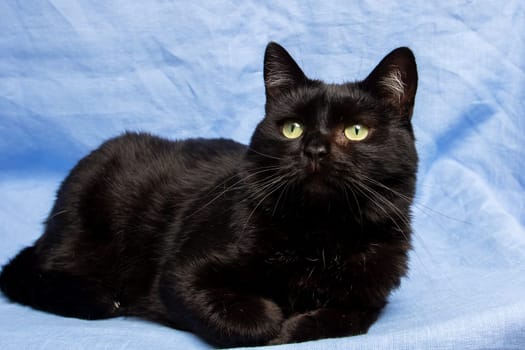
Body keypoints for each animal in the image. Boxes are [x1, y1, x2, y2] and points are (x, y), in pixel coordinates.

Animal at [0, 43, 418, 348]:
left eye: (356, 131)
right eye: (292, 129)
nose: (314, 150)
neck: (319, 234)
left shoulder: (368, 298)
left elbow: (345, 318)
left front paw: (295, 325)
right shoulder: (180, 274)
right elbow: (252, 319)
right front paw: (275, 323)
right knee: (33, 273)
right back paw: (101, 296)